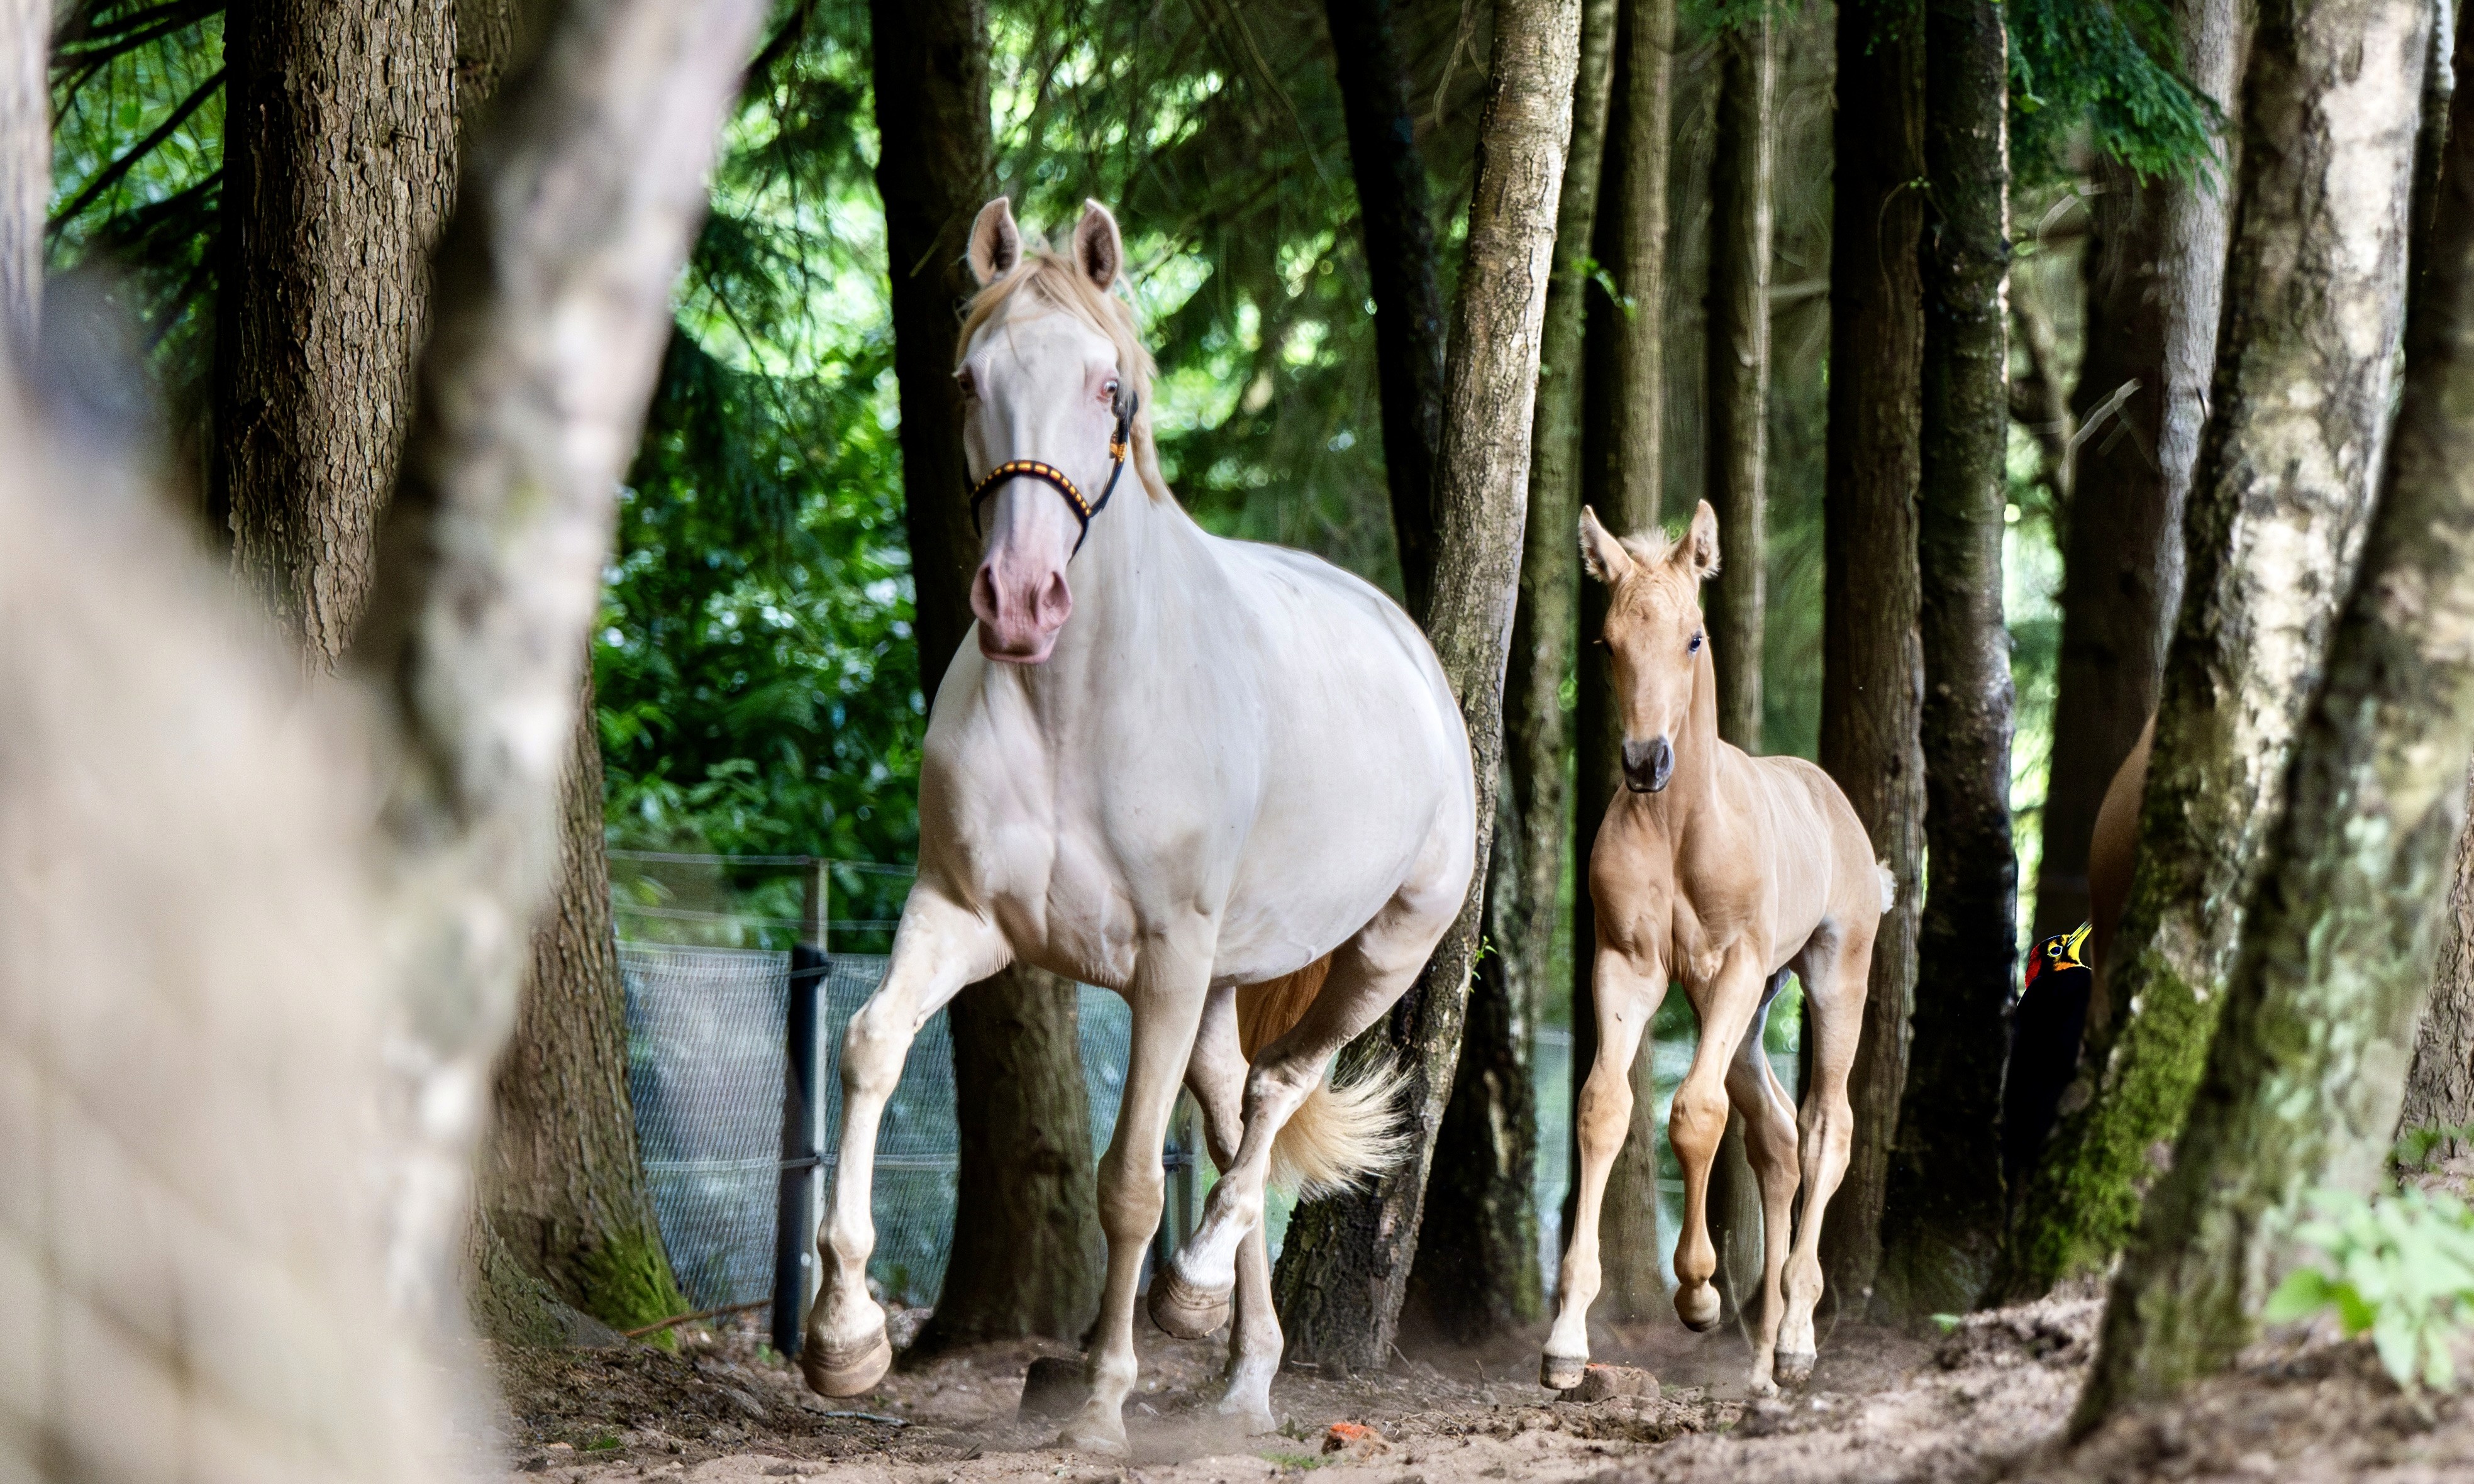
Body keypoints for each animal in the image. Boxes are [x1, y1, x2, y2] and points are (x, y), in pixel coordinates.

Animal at [800, 196, 1476, 1457]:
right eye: (964, 380)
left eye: (1106, 385)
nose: (1019, 602)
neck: (1073, 712)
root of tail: (1403, 638)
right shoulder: (963, 916)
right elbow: (869, 1044)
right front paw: (844, 1336)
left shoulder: (1163, 961)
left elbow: (1127, 1184)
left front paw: (1104, 1401)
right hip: (1221, 988)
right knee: (1232, 1113)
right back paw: (1243, 1372)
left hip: (1380, 950)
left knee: (1277, 1096)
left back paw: (1196, 1290)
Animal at [1542, 502, 1890, 1397]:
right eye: (1605, 641)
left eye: (1694, 636)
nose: (1645, 761)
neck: (1678, 826)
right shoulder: (1627, 965)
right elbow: (1604, 1108)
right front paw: (1564, 1341)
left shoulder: (1731, 962)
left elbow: (1695, 1112)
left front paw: (1697, 1291)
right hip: (1745, 1002)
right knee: (1773, 1132)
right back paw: (1761, 1352)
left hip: (1830, 974)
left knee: (1825, 1124)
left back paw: (1795, 1336)